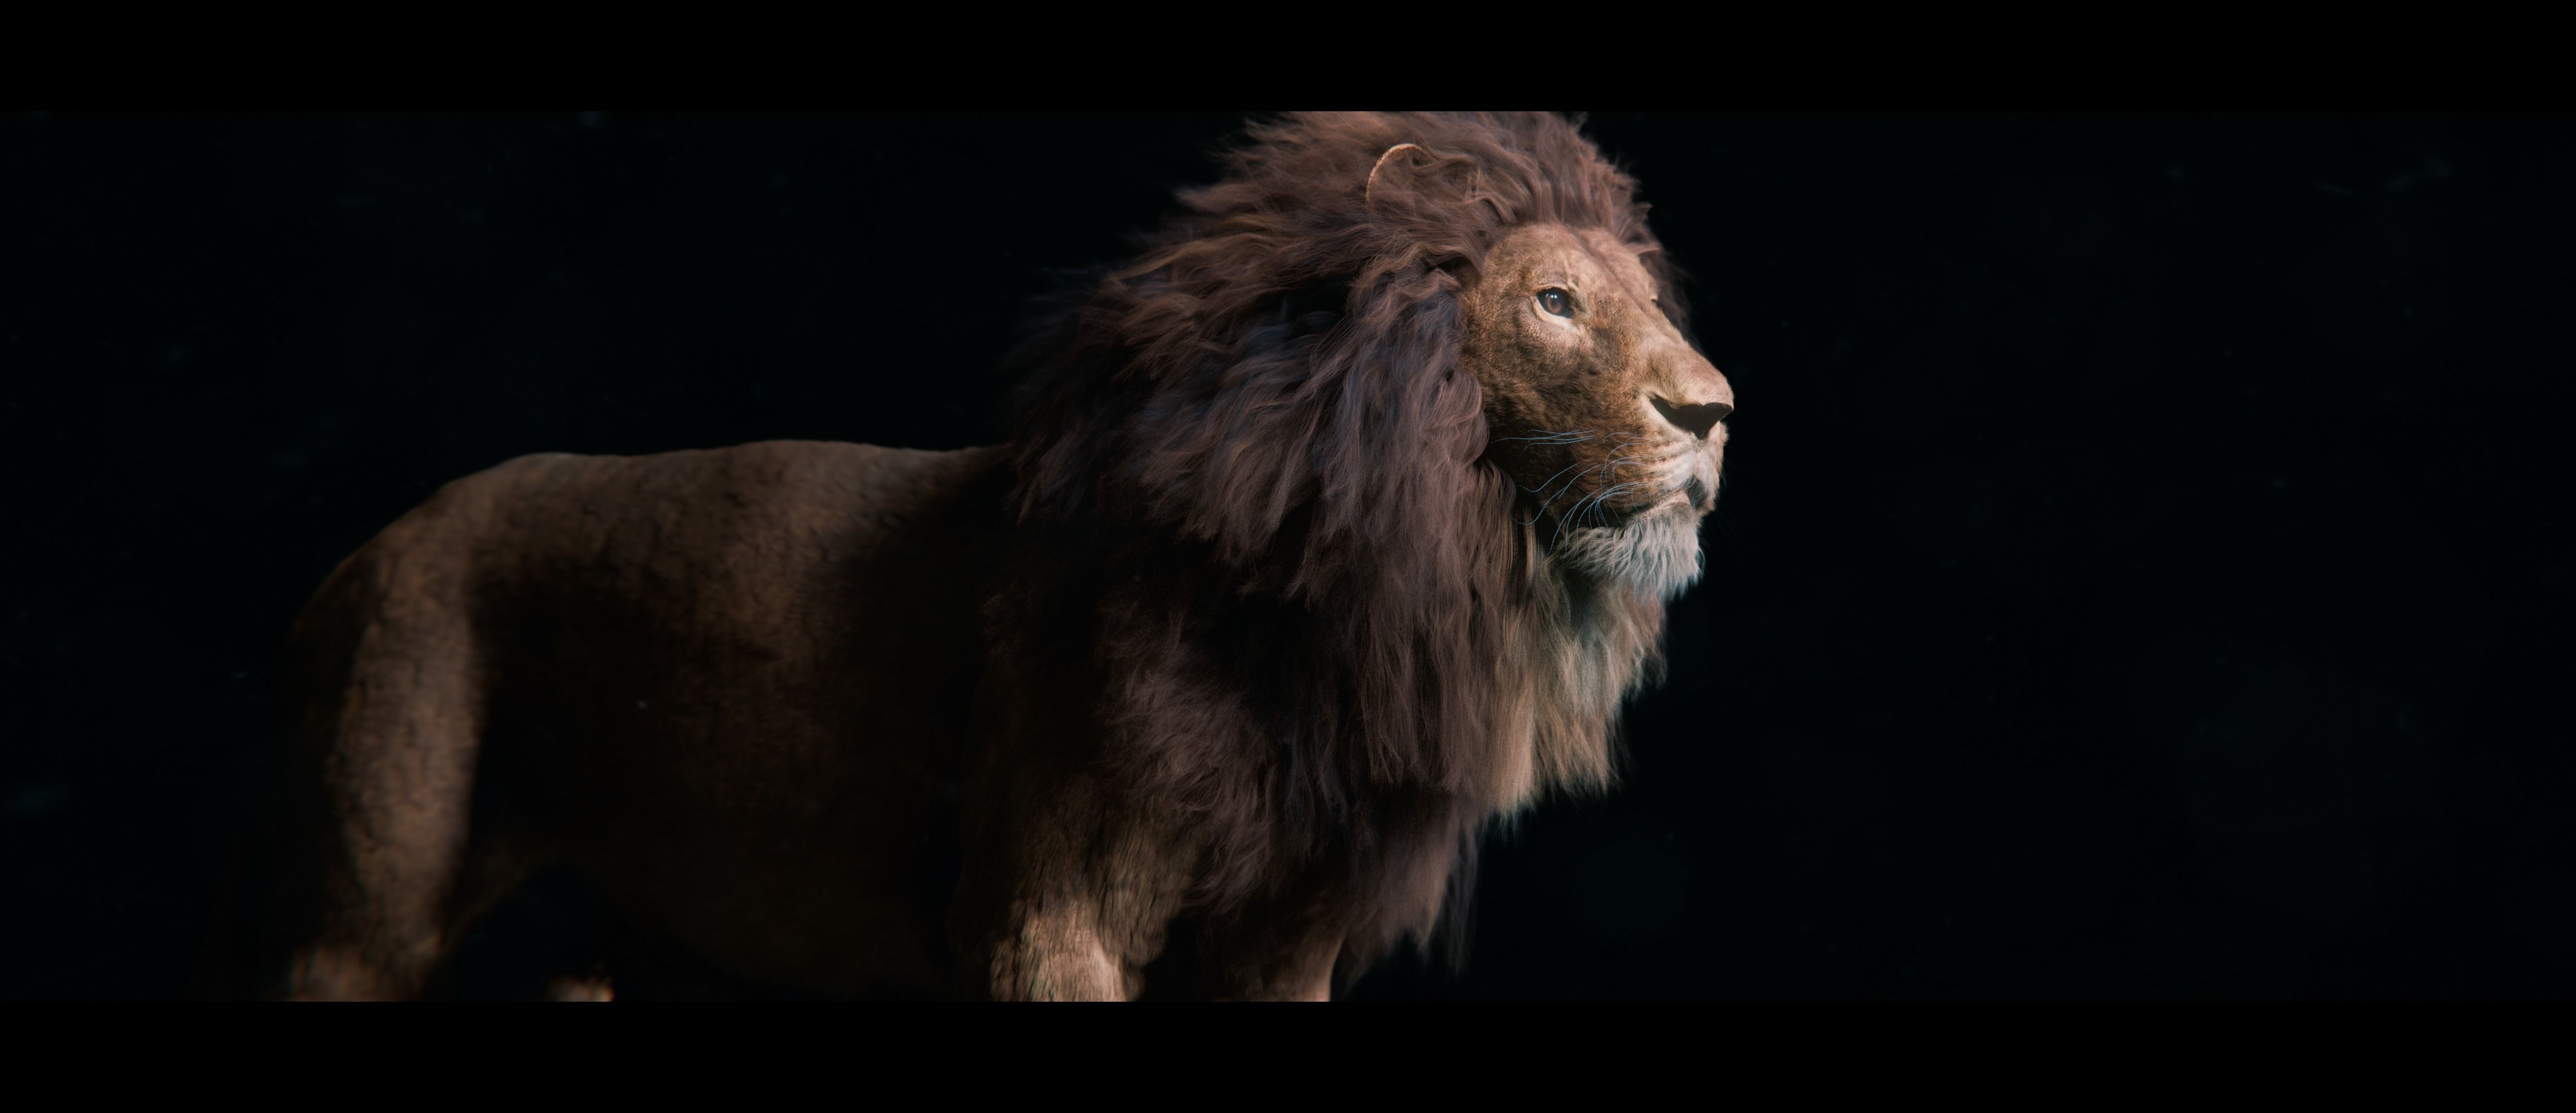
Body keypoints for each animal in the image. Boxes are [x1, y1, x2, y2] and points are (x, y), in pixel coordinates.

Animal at [238, 111, 1733, 1000]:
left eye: (1650, 300)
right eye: (1555, 302)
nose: (1716, 412)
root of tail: (369, 549)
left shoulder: (1282, 944)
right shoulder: (1047, 914)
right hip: (368, 902)